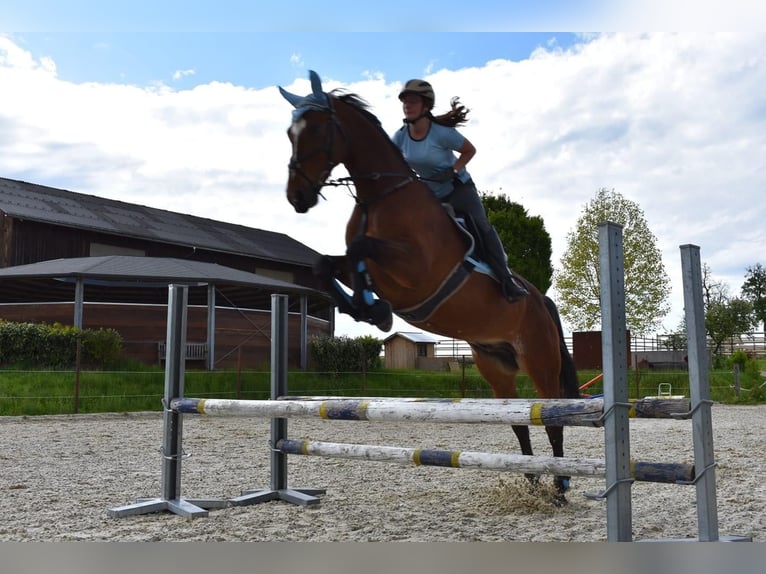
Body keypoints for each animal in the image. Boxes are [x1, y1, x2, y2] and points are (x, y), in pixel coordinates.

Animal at [282, 71, 584, 504]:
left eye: (317, 131)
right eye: (290, 133)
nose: (297, 197)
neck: (382, 197)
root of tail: (541, 300)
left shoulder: (416, 271)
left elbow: (361, 249)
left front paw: (374, 309)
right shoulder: (368, 267)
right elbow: (329, 264)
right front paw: (367, 308)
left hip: (539, 359)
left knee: (552, 418)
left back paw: (559, 487)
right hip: (495, 366)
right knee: (518, 421)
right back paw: (531, 479)